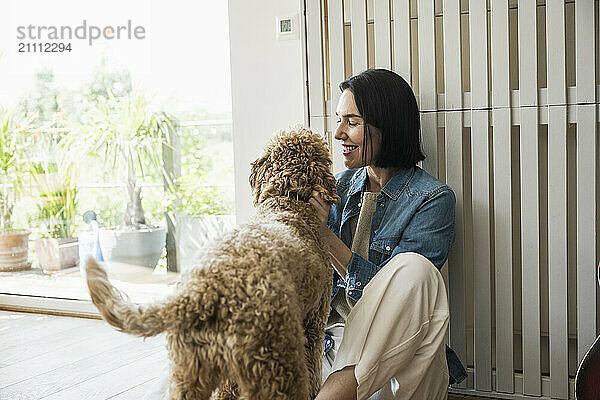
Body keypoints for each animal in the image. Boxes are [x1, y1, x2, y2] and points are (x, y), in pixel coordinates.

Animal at [85, 127, 340, 400]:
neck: (288, 202)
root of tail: (203, 291)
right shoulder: (314, 327)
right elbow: (314, 372)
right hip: (277, 364)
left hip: (191, 370)